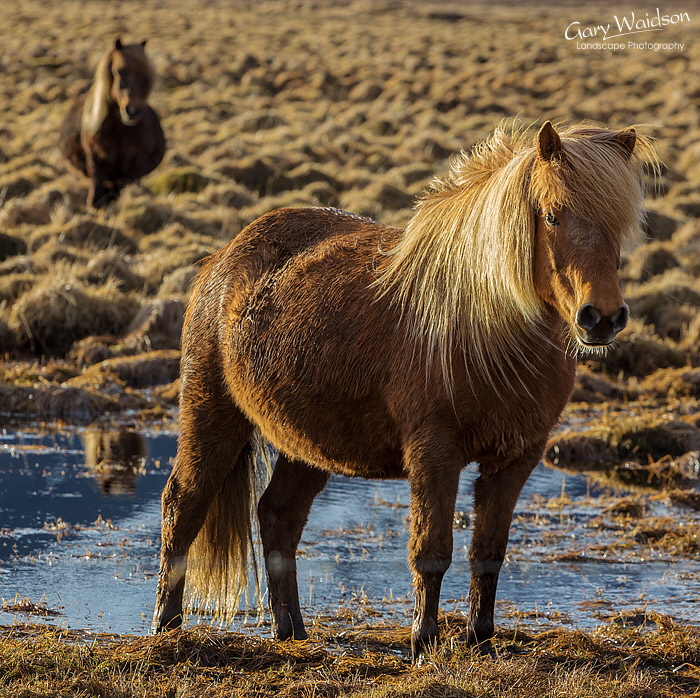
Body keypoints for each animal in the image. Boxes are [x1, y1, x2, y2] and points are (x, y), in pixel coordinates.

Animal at [59, 38, 166, 208]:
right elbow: (98, 179)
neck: (120, 132)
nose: (132, 111)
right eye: (117, 71)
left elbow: (124, 184)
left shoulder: (134, 165)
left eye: (144, 75)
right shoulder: (96, 156)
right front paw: (95, 204)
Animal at [151, 121, 656, 660]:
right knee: (183, 506)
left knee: (278, 517)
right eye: (553, 216)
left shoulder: (516, 460)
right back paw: (166, 627)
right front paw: (423, 643)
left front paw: (481, 642)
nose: (602, 318)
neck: (485, 327)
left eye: (620, 225)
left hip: (306, 446)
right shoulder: (434, 454)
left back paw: (293, 632)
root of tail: (220, 259)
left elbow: (488, 553)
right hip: (212, 416)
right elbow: (431, 551)